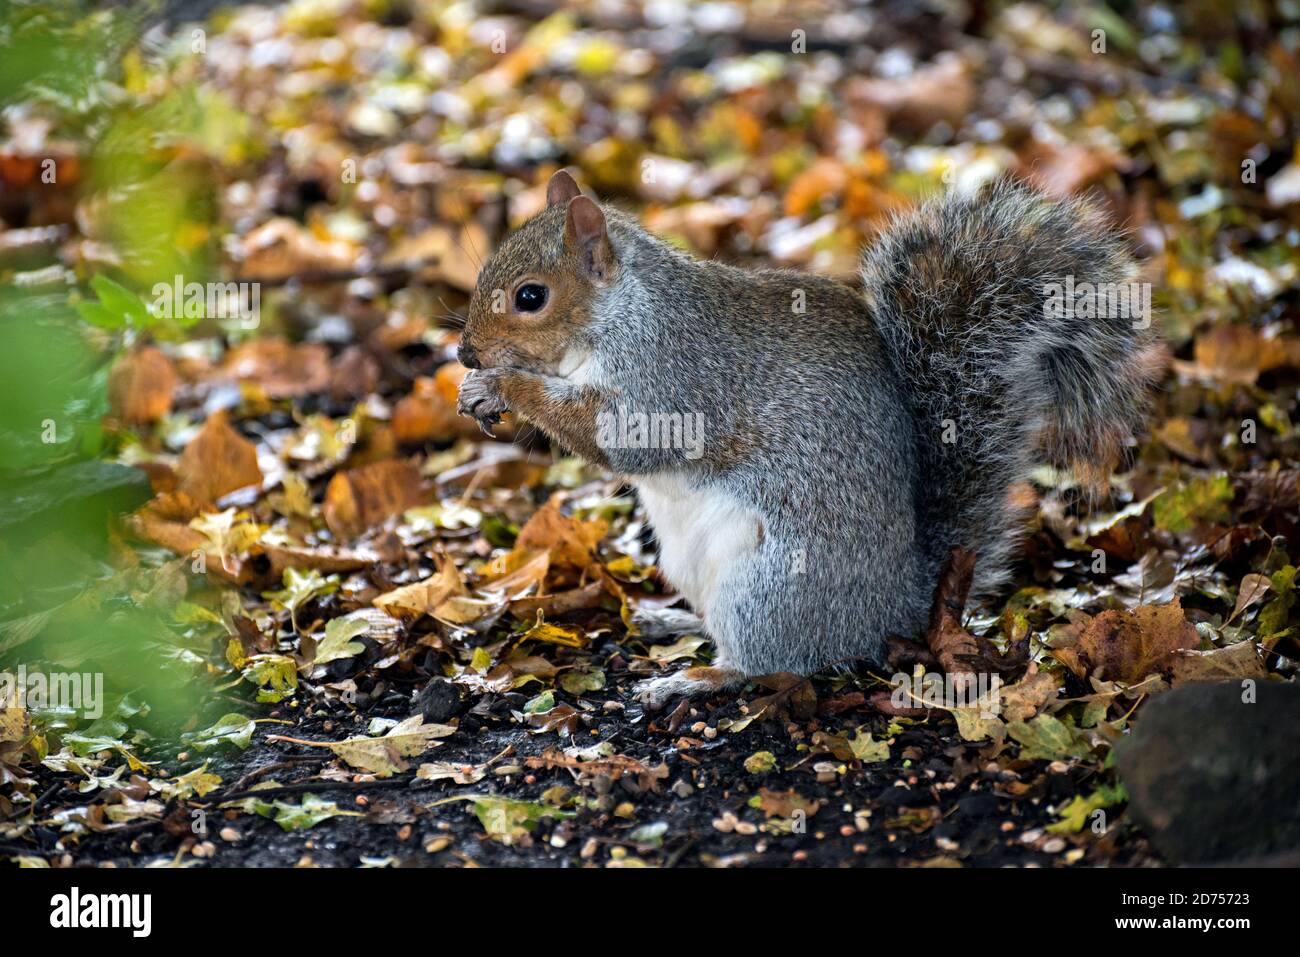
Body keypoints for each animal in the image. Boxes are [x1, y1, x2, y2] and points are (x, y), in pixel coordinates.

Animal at [456, 169, 1162, 710]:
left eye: (530, 297)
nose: (465, 353)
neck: (621, 313)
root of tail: (892, 609)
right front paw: (476, 390)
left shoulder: (673, 378)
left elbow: (624, 439)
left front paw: (503, 387)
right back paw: (671, 620)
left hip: (769, 585)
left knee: (772, 660)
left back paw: (694, 678)